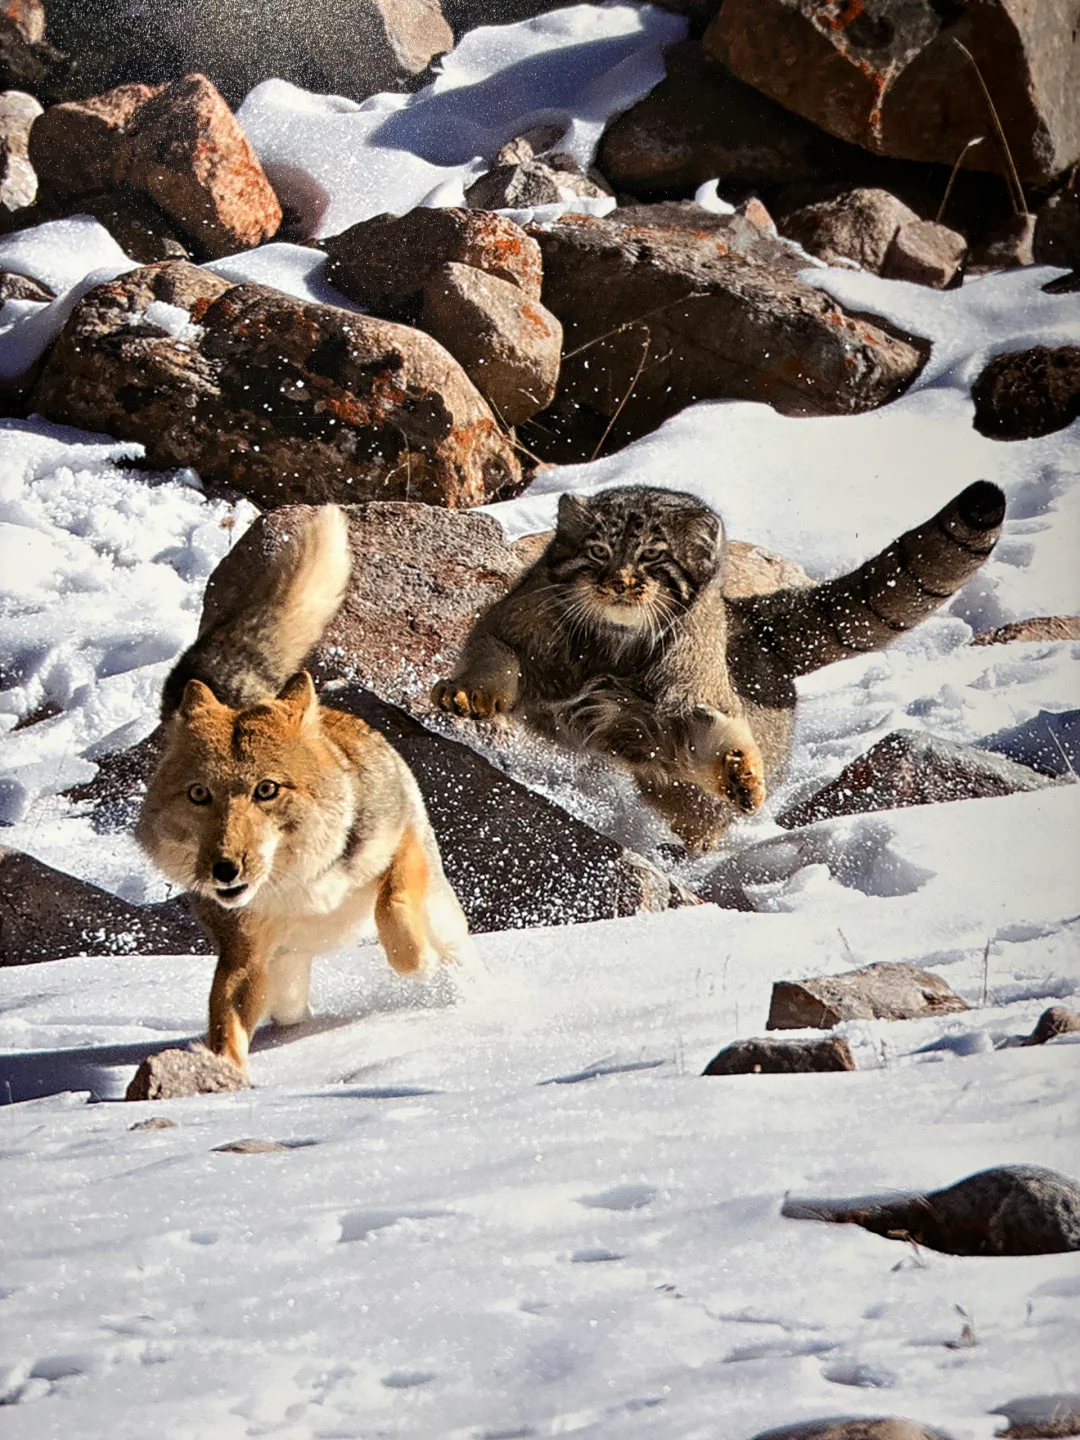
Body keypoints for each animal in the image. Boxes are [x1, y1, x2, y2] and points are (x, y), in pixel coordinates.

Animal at [137, 501, 472, 1077]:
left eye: (267, 790)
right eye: (200, 795)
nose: (224, 869)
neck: (298, 883)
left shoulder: (396, 839)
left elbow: (394, 909)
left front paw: (416, 963)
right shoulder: (244, 955)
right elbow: (225, 1027)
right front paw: (222, 1078)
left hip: (446, 914)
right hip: (286, 982)